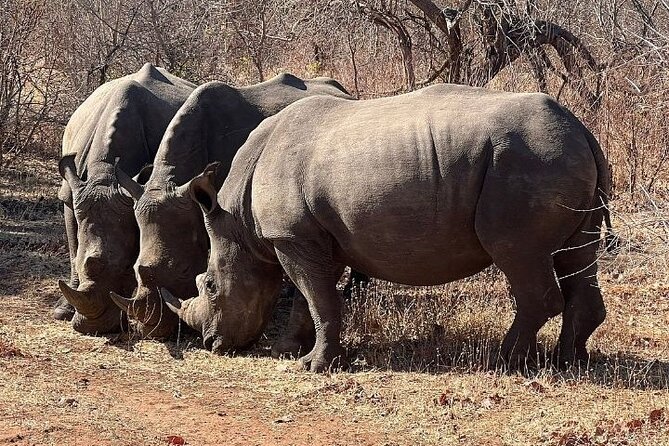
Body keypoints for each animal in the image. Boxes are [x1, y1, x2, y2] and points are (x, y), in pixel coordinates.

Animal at [56, 62, 196, 334]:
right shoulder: (72, 194)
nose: (93, 327)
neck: (104, 173)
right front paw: (63, 312)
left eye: (123, 270)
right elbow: (74, 247)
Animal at [159, 84, 612, 372]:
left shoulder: (292, 238)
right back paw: (568, 362)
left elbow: (319, 298)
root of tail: (583, 130)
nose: (211, 345)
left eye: (210, 286)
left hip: (527, 162)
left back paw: (505, 362)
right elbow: (311, 299)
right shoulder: (307, 238)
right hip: (555, 155)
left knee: (521, 256)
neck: (238, 219)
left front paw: (313, 366)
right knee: (577, 255)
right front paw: (290, 351)